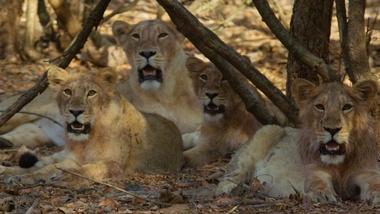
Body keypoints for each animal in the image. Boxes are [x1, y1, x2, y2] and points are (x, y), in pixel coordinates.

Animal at [0, 66, 184, 181]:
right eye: (67, 92)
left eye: (91, 93)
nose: (75, 111)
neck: (86, 141)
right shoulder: (72, 158)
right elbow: (45, 168)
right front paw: (25, 177)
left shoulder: (114, 165)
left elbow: (80, 170)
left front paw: (59, 176)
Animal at [215, 78, 380, 204]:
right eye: (320, 107)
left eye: (346, 107)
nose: (332, 129)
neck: (340, 164)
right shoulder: (314, 171)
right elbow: (318, 184)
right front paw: (323, 195)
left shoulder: (367, 173)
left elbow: (375, 184)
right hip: (269, 131)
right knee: (230, 176)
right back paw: (230, 191)